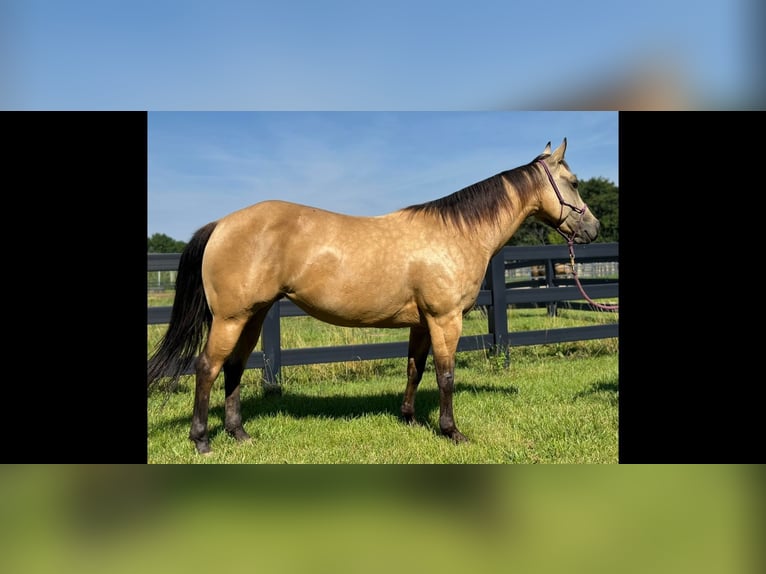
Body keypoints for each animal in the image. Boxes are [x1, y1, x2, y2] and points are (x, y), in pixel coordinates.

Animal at [150, 138, 604, 454]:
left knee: (234, 367)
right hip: (231, 317)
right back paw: (202, 441)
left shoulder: (422, 322)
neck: (455, 234)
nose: (593, 230)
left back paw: (240, 434)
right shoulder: (445, 319)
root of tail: (221, 224)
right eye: (574, 183)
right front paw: (452, 432)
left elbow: (414, 370)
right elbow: (446, 375)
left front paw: (409, 420)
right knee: (207, 367)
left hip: (254, 315)